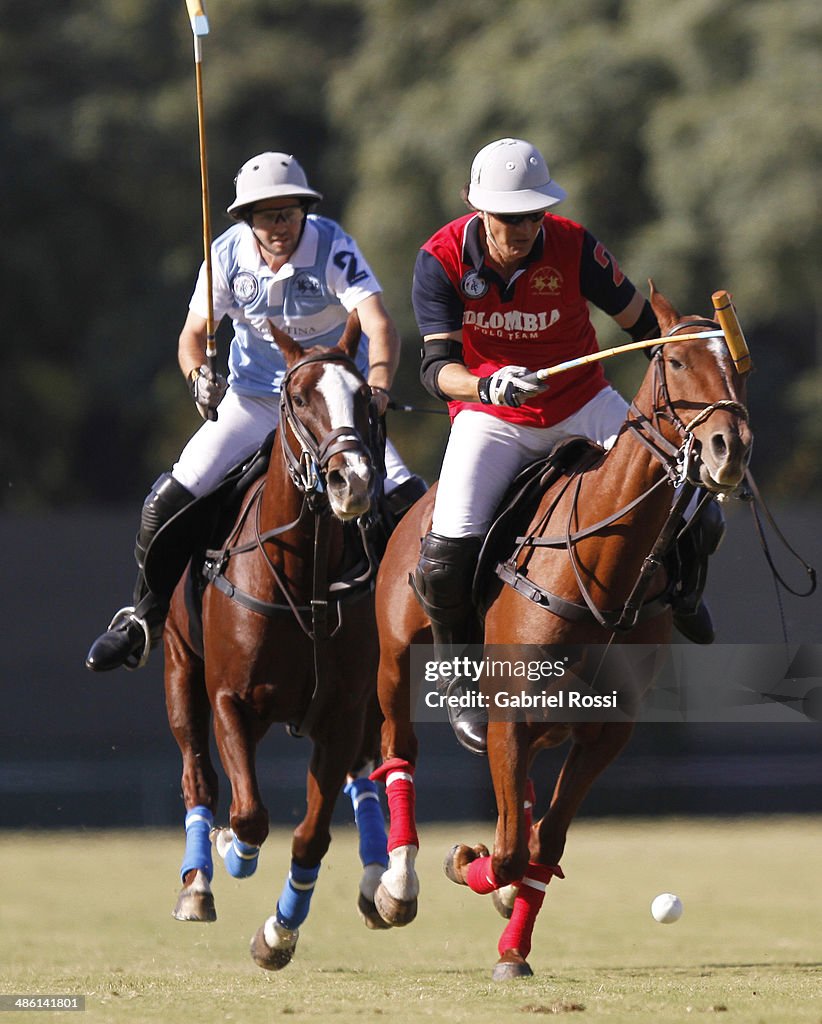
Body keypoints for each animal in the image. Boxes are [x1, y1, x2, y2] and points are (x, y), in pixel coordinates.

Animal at [163, 315, 388, 970]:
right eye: (300, 398)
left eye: (364, 398)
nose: (351, 482)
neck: (303, 575)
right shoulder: (230, 699)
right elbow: (250, 815)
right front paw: (231, 850)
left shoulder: (342, 713)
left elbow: (311, 835)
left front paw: (278, 933)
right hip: (180, 670)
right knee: (198, 774)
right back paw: (199, 882)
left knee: (362, 774)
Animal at [370, 286, 753, 974]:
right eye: (675, 362)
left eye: (736, 365)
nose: (728, 448)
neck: (603, 565)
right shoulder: (512, 713)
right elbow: (509, 853)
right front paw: (464, 861)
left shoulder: (608, 729)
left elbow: (543, 845)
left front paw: (513, 947)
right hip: (395, 663)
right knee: (398, 751)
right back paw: (397, 886)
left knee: (517, 801)